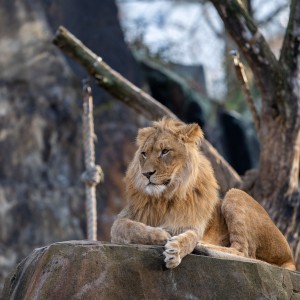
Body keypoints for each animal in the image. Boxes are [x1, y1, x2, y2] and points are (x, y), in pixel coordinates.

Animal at [110, 118, 296, 270]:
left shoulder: (192, 223)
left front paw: (175, 250)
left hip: (235, 193)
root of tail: (290, 257)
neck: (164, 197)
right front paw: (160, 234)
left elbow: (190, 237)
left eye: (165, 151)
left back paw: (202, 246)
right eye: (144, 154)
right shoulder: (122, 220)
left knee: (244, 252)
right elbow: (128, 227)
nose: (146, 174)